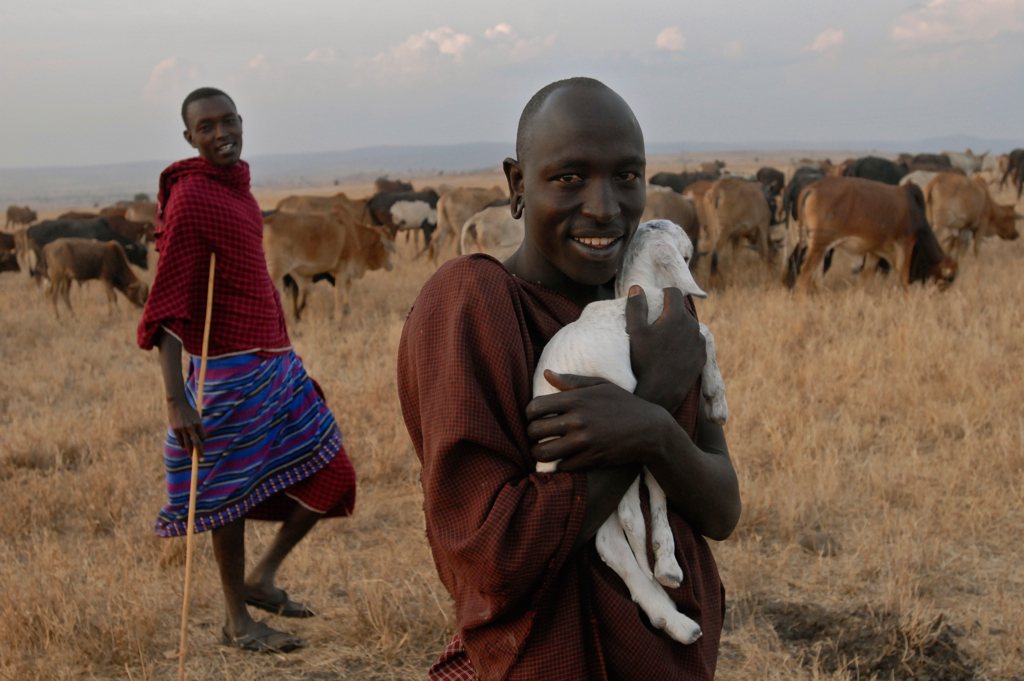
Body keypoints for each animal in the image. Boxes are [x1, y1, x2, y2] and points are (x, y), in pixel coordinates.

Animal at [260, 202, 395, 319]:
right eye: (388, 246)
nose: (392, 264)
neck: (355, 233)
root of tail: (269, 218)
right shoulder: (343, 267)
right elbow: (339, 293)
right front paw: (338, 319)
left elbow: (348, 286)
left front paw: (346, 309)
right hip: (276, 271)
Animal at [790, 175, 958, 292]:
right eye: (950, 278)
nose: (940, 293)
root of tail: (813, 187)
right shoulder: (906, 242)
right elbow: (903, 277)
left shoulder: (874, 252)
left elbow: (866, 279)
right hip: (820, 243)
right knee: (806, 273)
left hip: (817, 246)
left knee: (816, 277)